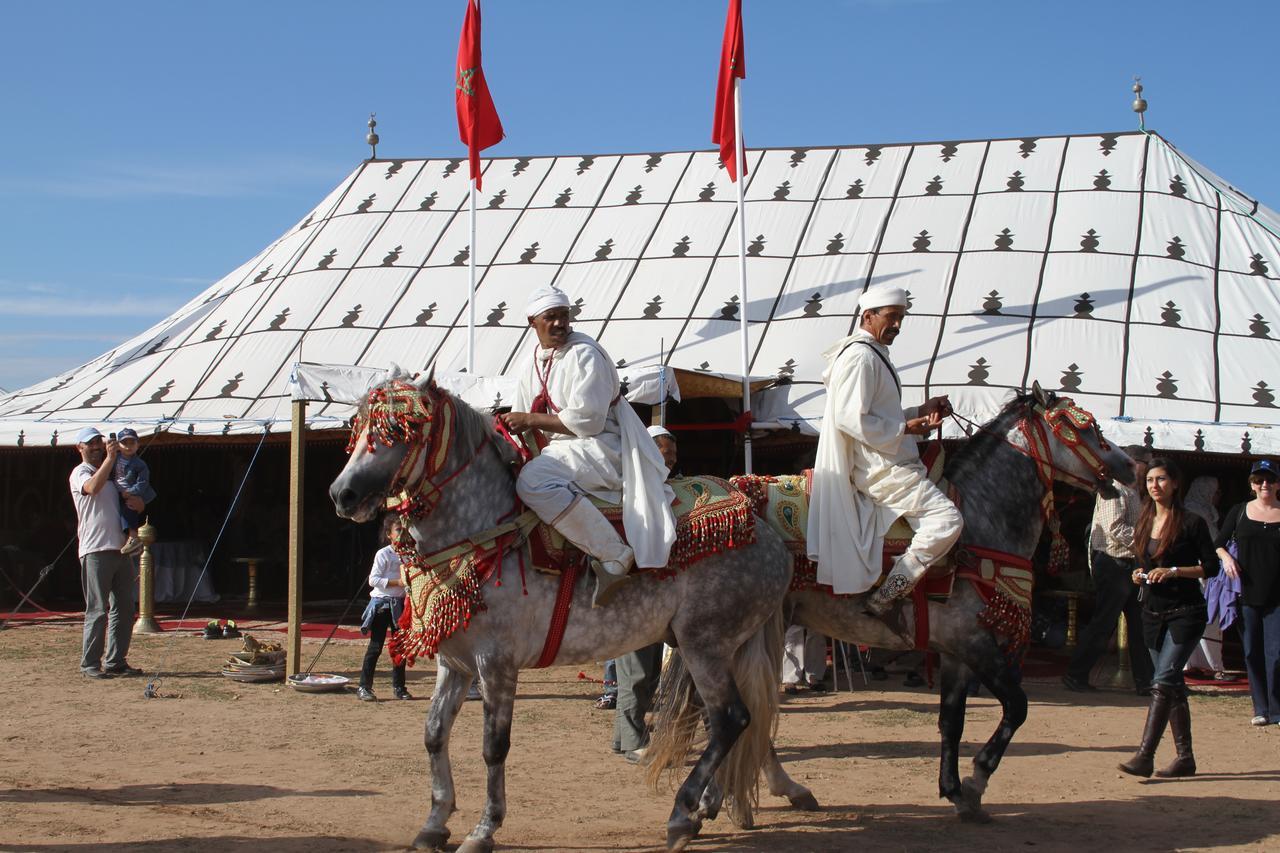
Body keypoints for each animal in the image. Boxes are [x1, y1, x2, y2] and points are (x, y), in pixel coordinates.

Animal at [330, 371, 788, 850]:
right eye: (358, 430)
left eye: (399, 431)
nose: (343, 494)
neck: (484, 531)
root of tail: (766, 531)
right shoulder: (454, 663)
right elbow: (434, 734)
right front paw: (435, 822)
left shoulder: (496, 663)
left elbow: (494, 746)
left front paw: (485, 827)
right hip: (712, 646)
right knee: (730, 721)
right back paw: (708, 805)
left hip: (706, 644)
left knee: (730, 719)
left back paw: (683, 812)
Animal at [665, 381, 1136, 819]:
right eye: (1083, 426)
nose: (1131, 465)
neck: (983, 517)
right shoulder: (976, 642)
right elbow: (1017, 708)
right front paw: (977, 779)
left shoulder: (956, 650)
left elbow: (951, 721)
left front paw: (955, 791)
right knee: (727, 713)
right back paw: (731, 797)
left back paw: (751, 795)